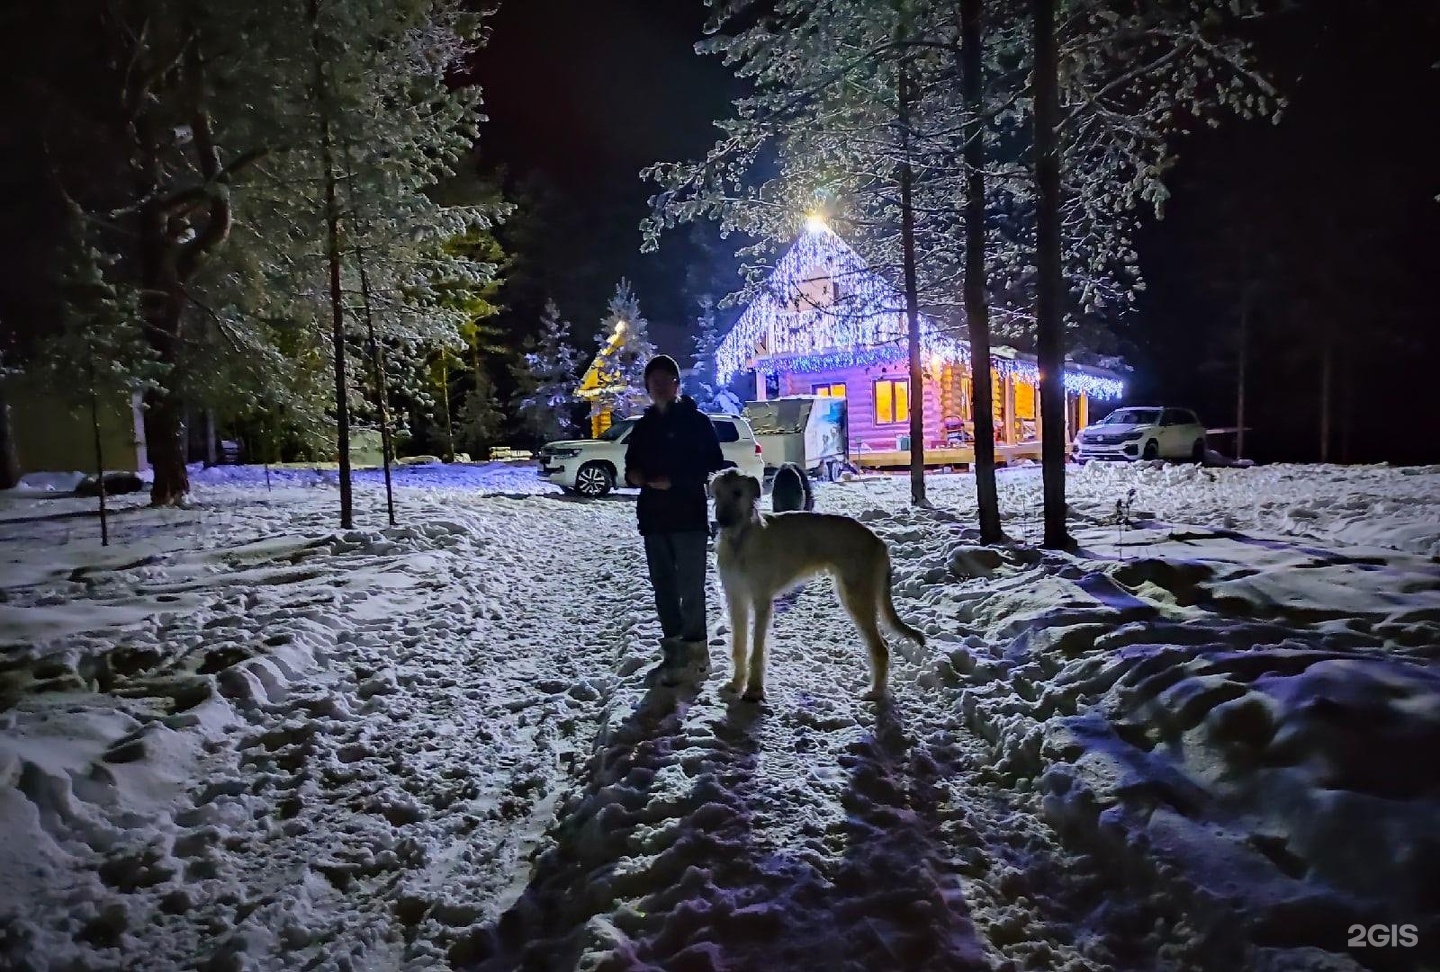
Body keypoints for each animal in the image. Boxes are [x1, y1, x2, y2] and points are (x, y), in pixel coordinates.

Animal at [705, 469, 921, 702]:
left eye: (737, 492)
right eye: (717, 493)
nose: (721, 521)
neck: (740, 541)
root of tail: (879, 541)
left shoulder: (761, 600)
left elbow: (758, 649)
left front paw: (754, 690)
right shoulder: (736, 598)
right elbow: (739, 646)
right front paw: (736, 684)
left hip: (856, 596)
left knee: (881, 648)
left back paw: (876, 692)